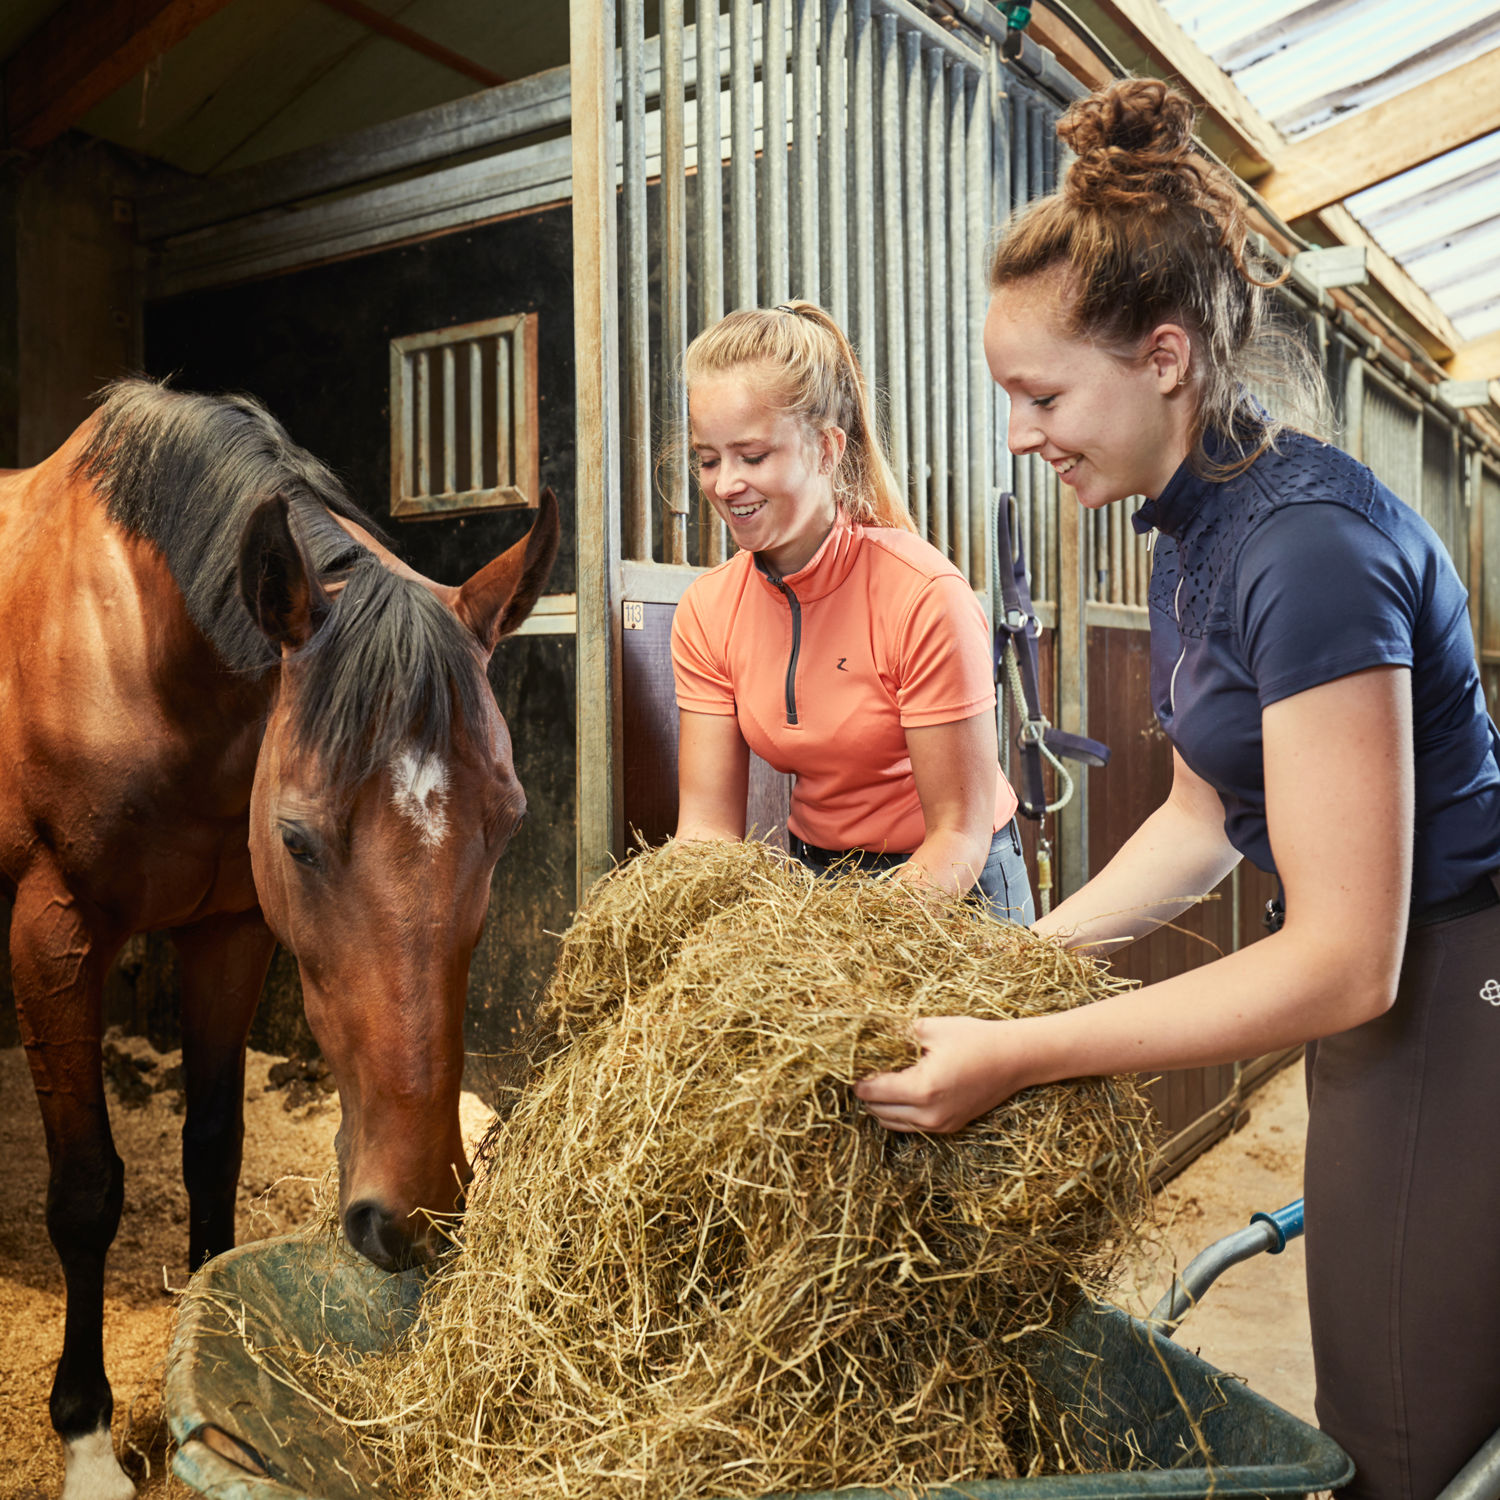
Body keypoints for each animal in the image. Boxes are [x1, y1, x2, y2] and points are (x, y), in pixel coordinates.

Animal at [0, 378, 559, 1499]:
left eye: (509, 822)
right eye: (298, 837)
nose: (409, 1217)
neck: (127, 648)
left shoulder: (229, 934)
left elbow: (213, 1148)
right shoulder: (53, 932)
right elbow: (85, 1191)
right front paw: (88, 1443)